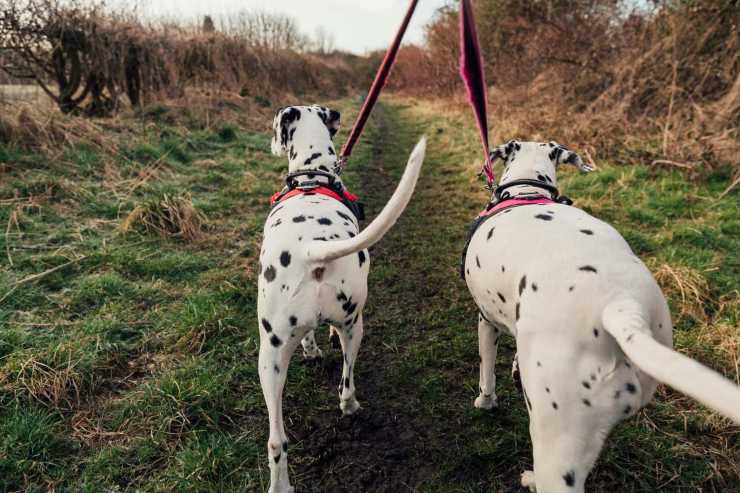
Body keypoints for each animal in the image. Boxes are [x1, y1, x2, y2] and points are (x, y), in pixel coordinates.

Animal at [258, 104, 424, 492]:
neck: (312, 178)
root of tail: (312, 248)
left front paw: (313, 350)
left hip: (269, 358)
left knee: (277, 439)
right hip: (352, 327)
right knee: (345, 382)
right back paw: (349, 407)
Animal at [462, 139, 740, 492]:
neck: (526, 191)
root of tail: (620, 307)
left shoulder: (486, 320)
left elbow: (486, 370)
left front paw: (485, 401)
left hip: (557, 446)